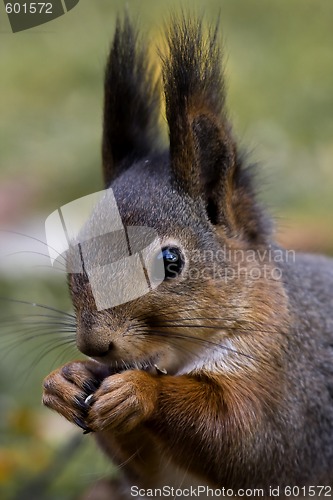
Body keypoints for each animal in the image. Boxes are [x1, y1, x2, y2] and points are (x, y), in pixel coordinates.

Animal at [41, 14, 332, 496]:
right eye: (70, 255)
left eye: (171, 262)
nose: (95, 345)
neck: (179, 358)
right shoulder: (153, 473)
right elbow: (145, 468)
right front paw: (63, 381)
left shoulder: (288, 388)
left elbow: (239, 436)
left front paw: (140, 391)